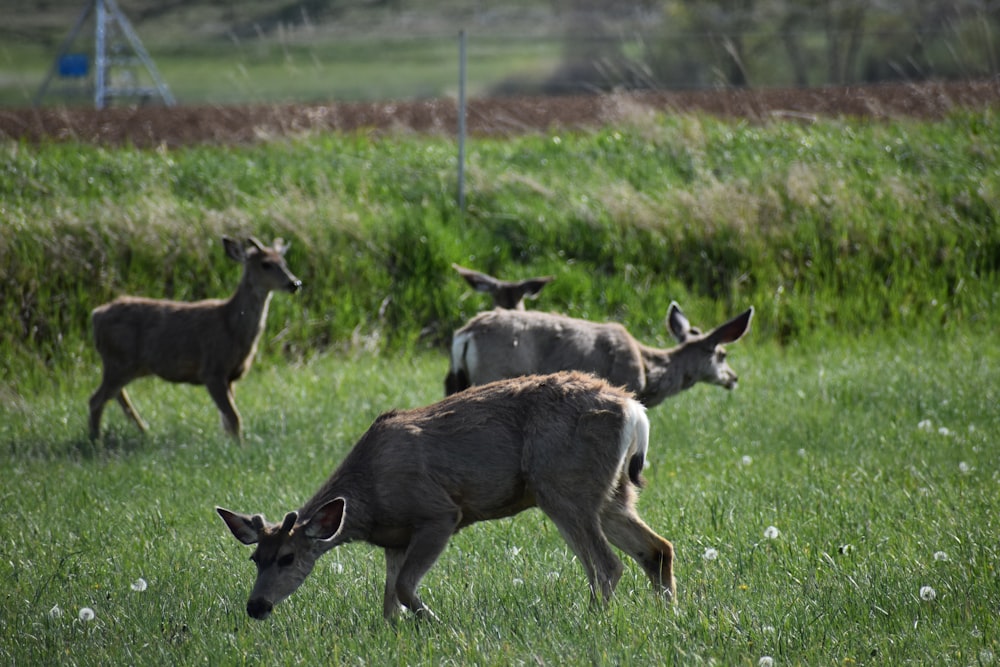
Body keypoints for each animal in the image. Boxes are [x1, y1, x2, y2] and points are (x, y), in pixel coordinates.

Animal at [88, 236, 300, 444]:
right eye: (266, 264)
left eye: (284, 262)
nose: (294, 283)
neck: (231, 325)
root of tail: (96, 315)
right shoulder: (212, 370)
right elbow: (234, 418)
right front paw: (240, 447)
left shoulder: (230, 377)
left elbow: (226, 421)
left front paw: (229, 444)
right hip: (119, 361)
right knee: (95, 399)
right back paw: (96, 441)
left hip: (126, 365)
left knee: (117, 396)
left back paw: (144, 432)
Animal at [215, 374, 676, 624]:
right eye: (255, 558)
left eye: (288, 558)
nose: (255, 606)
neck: (370, 498)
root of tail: (634, 410)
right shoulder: (395, 539)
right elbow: (388, 601)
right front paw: (397, 630)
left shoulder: (438, 513)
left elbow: (404, 588)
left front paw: (434, 623)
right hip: (612, 493)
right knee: (657, 548)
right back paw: (668, 614)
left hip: (563, 486)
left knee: (607, 565)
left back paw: (592, 618)